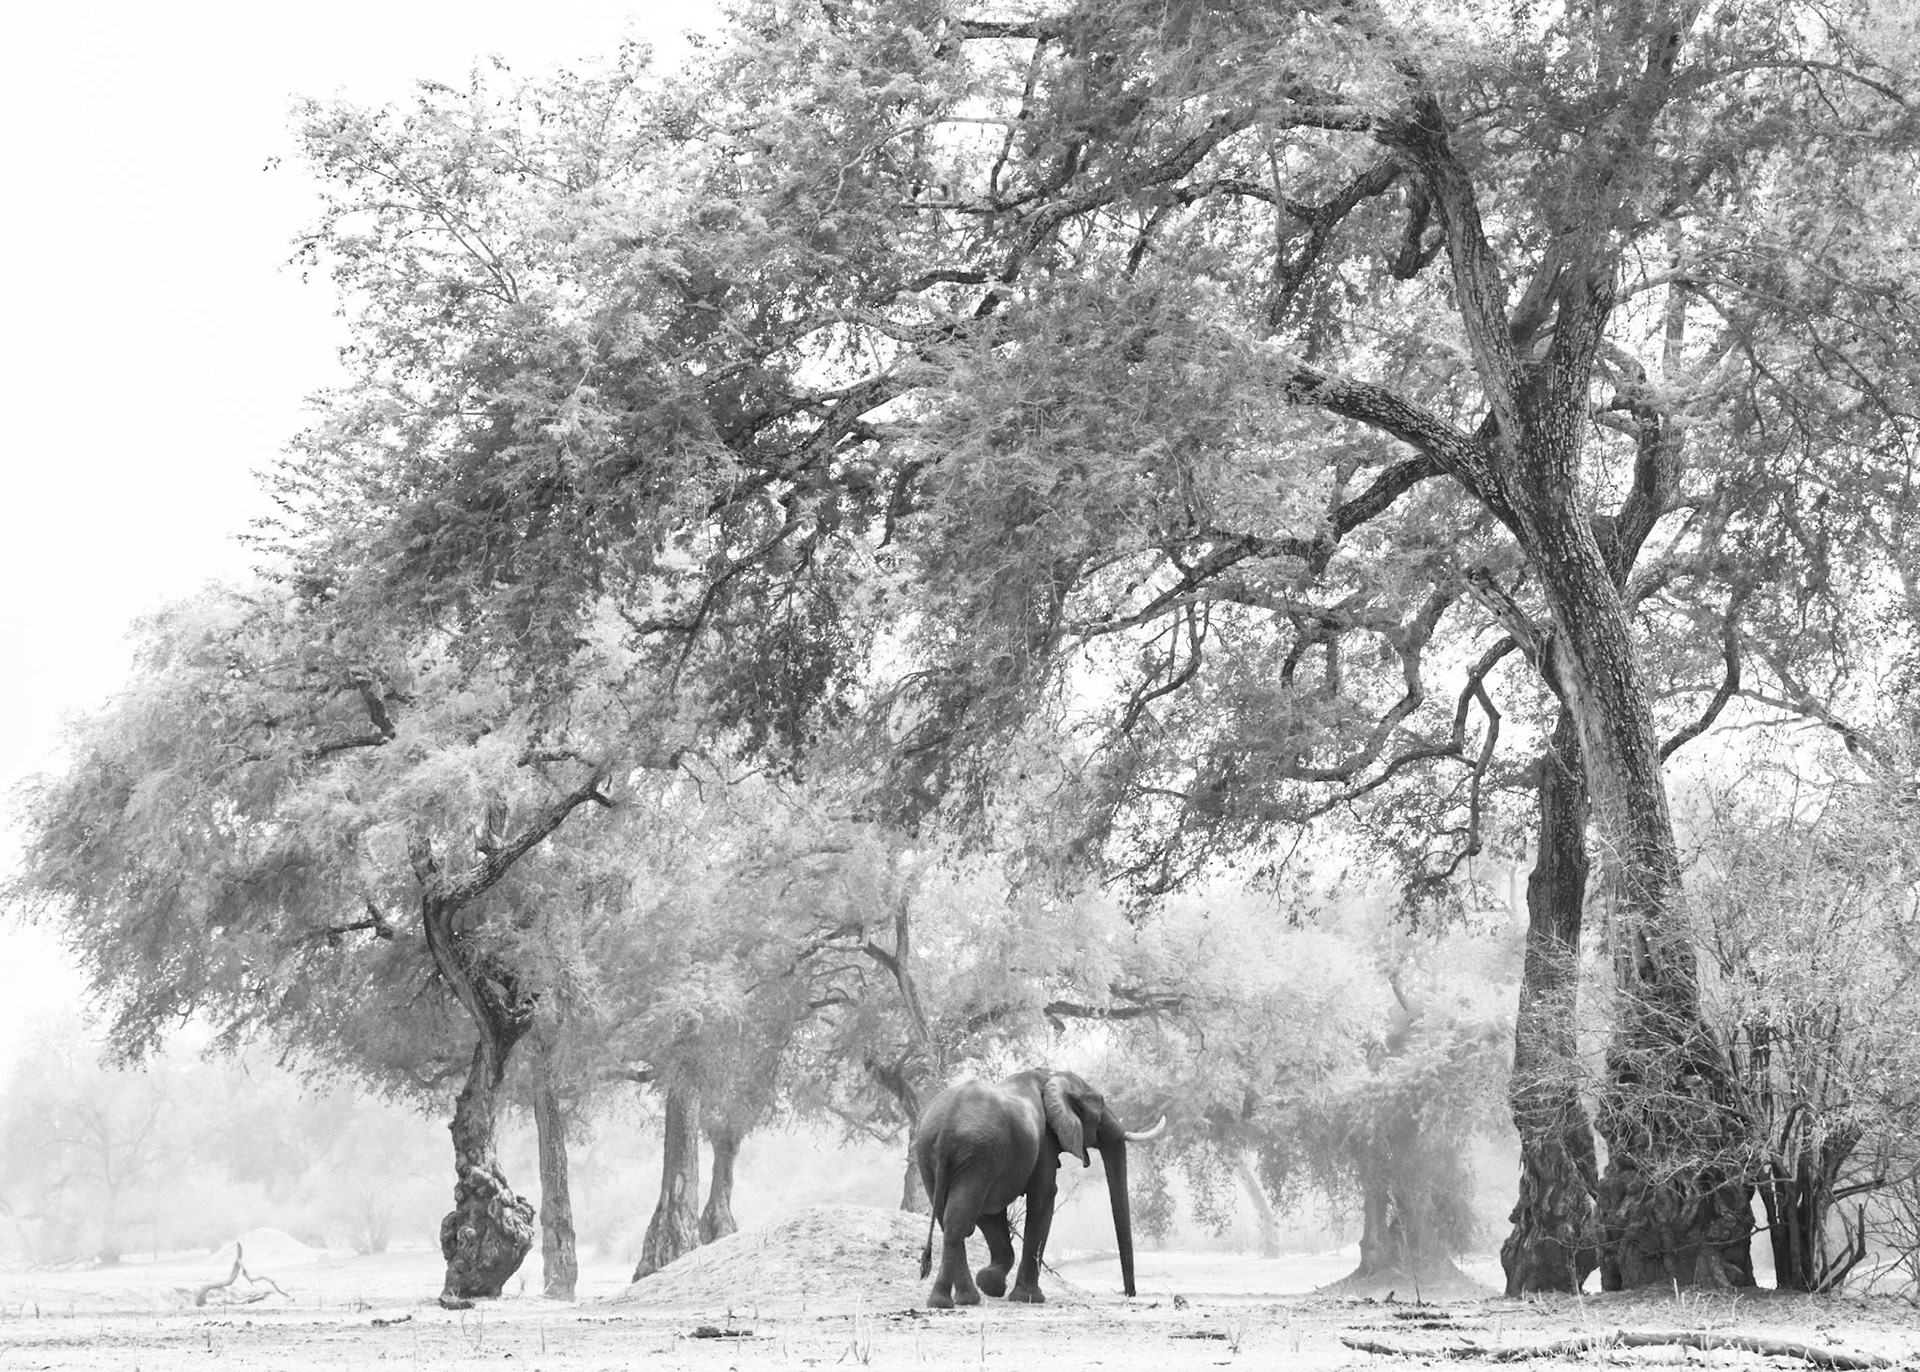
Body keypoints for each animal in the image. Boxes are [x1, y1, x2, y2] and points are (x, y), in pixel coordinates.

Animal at [913, 1068, 1166, 1308]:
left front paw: (990, 1283)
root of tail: (948, 1122)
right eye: (1101, 1106)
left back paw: (961, 1300)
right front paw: (1027, 1297)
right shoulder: (1044, 1142)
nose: (1130, 1294)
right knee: (958, 1220)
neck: (1051, 1076)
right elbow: (1044, 1197)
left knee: (949, 1219)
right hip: (977, 1153)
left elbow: (991, 1213)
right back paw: (949, 1302)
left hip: (932, 1154)